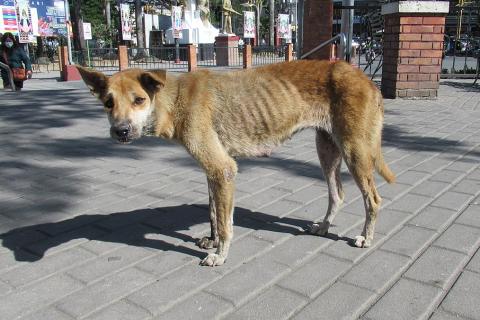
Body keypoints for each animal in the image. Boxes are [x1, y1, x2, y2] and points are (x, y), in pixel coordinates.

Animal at [78, 60, 394, 268]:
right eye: (108, 103)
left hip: (355, 152)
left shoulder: (223, 169)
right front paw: (212, 239)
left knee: (373, 199)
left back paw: (366, 237)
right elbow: (214, 214)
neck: (175, 98)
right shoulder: (212, 173)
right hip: (327, 151)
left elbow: (226, 223)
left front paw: (220, 254)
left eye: (139, 100)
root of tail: (366, 77)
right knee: (337, 193)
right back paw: (324, 227)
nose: (120, 131)